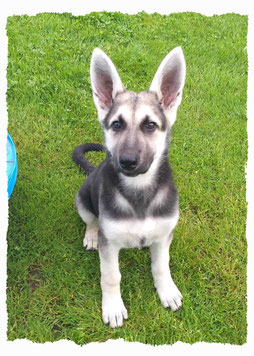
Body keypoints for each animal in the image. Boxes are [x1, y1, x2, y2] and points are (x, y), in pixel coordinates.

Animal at [72, 47, 186, 328]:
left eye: (150, 125)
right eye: (116, 125)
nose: (127, 162)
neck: (139, 191)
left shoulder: (165, 235)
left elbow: (161, 265)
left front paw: (166, 290)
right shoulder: (110, 244)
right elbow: (111, 275)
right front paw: (113, 306)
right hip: (82, 199)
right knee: (91, 221)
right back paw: (91, 235)